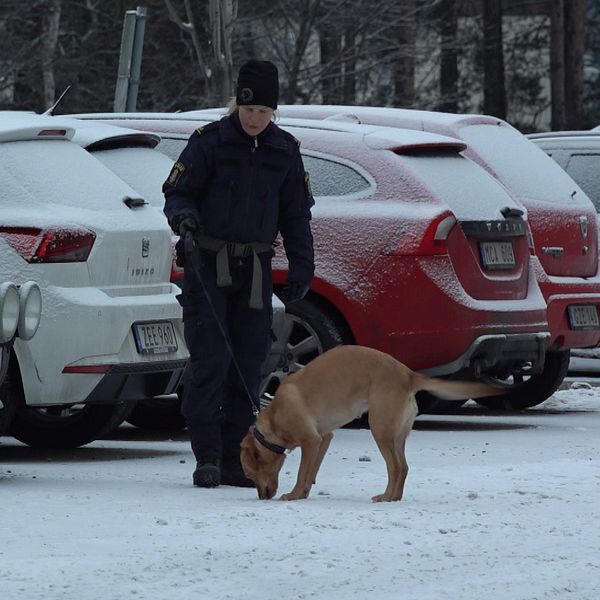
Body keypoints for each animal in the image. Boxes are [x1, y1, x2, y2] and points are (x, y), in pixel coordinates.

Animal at [239, 342, 502, 502]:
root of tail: (408, 375)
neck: (274, 417)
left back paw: (386, 497)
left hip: (380, 430)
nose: (263, 497)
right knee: (404, 467)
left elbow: (302, 472)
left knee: (395, 467)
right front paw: (303, 493)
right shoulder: (323, 439)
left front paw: (293, 494)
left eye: (250, 475)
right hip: (397, 435)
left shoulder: (310, 441)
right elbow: (311, 471)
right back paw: (394, 497)